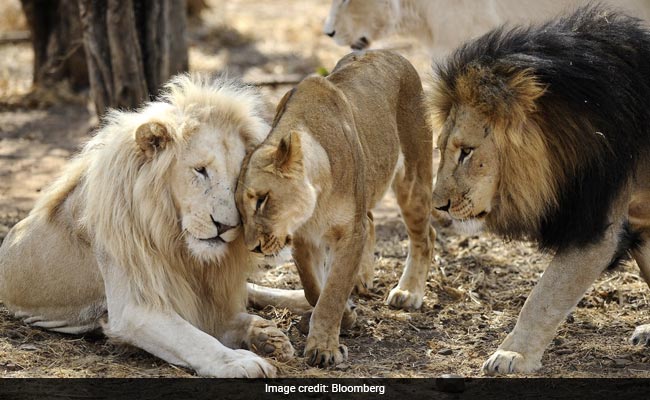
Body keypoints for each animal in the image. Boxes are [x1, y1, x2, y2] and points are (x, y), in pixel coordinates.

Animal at [0, 75, 294, 377]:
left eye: (239, 179)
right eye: (200, 170)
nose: (225, 225)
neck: (173, 235)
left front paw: (262, 335)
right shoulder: (134, 308)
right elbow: (194, 339)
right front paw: (240, 361)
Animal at [236, 50, 435, 367]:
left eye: (262, 199)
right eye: (239, 211)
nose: (253, 247)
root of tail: (390, 52)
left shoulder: (351, 232)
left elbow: (332, 293)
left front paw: (324, 349)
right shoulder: (303, 239)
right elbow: (314, 289)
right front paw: (347, 316)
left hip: (413, 179)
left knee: (425, 236)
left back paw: (408, 292)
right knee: (372, 219)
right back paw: (362, 280)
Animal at [428, 5, 650, 374]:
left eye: (467, 152)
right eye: (442, 149)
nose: (439, 206)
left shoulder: (595, 227)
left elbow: (544, 296)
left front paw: (512, 354)